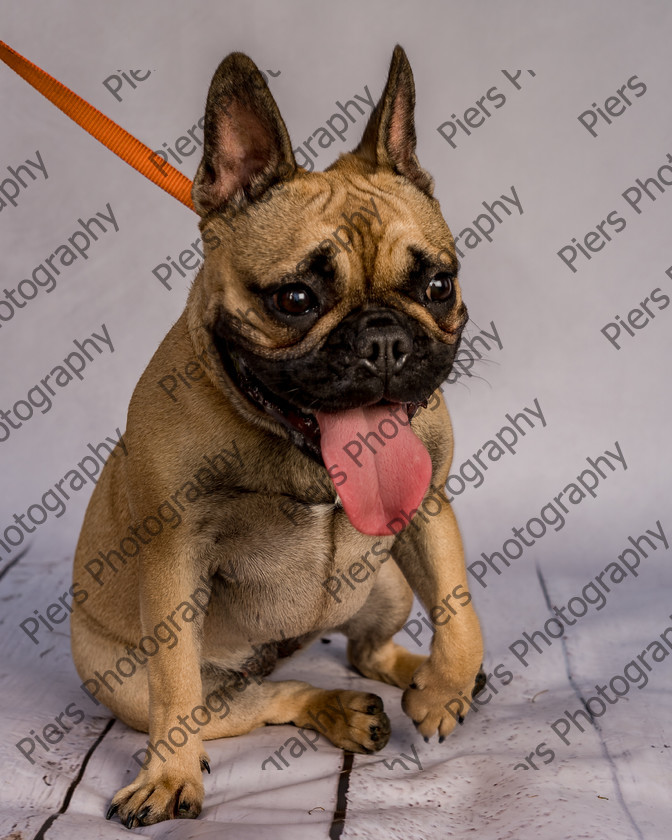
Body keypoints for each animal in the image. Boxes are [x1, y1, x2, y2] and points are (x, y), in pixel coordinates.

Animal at [72, 46, 484, 828]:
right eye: (295, 299)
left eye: (438, 286)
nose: (384, 340)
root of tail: (279, 651)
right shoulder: (175, 556)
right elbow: (177, 684)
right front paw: (168, 776)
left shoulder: (428, 506)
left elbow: (460, 612)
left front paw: (446, 690)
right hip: (127, 684)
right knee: (251, 700)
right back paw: (339, 711)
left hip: (387, 583)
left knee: (365, 651)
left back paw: (411, 680)